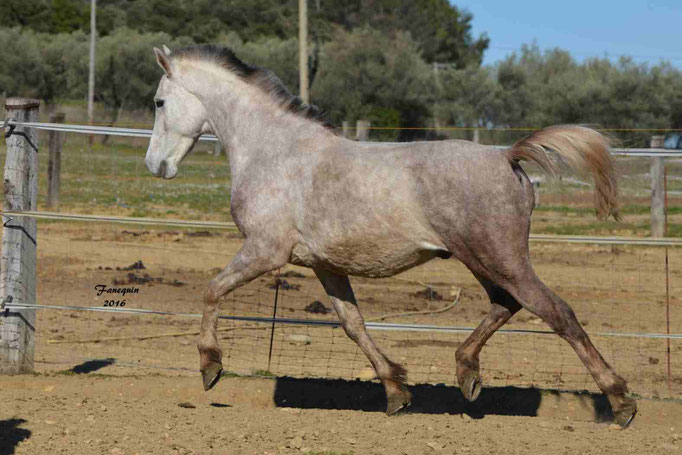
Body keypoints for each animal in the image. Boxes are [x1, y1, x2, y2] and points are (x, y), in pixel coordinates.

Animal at [145, 43, 636, 428]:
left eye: (159, 102)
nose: (155, 166)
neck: (274, 152)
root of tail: (506, 156)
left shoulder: (265, 251)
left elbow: (212, 290)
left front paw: (210, 366)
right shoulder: (326, 266)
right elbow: (353, 325)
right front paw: (397, 391)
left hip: (500, 257)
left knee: (556, 312)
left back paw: (621, 402)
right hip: (481, 259)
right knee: (507, 304)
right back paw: (467, 374)